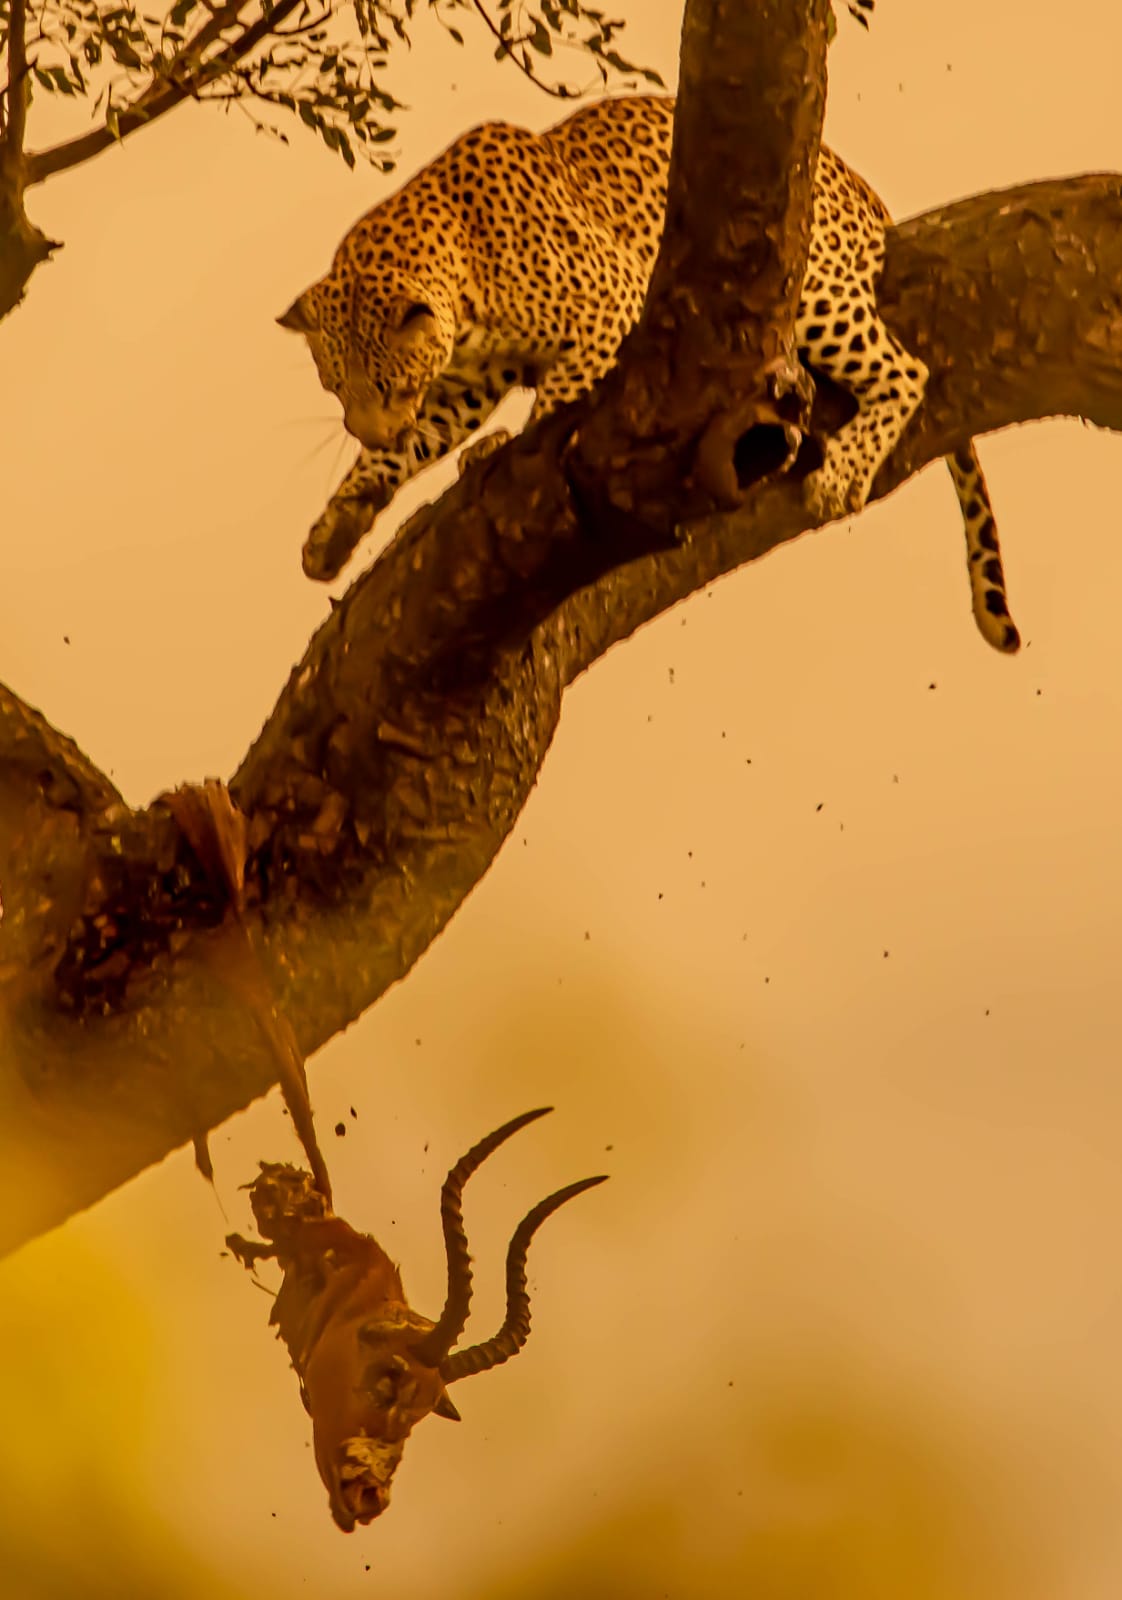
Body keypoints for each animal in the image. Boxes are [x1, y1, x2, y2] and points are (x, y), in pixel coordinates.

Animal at [279, 93, 1019, 653]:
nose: (370, 430)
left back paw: (844, 472)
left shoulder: (614, 303)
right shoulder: (464, 385)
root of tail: (858, 181)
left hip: (812, 286)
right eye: (337, 390)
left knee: (907, 369)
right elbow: (411, 449)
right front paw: (336, 527)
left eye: (388, 386)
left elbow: (558, 398)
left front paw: (506, 448)